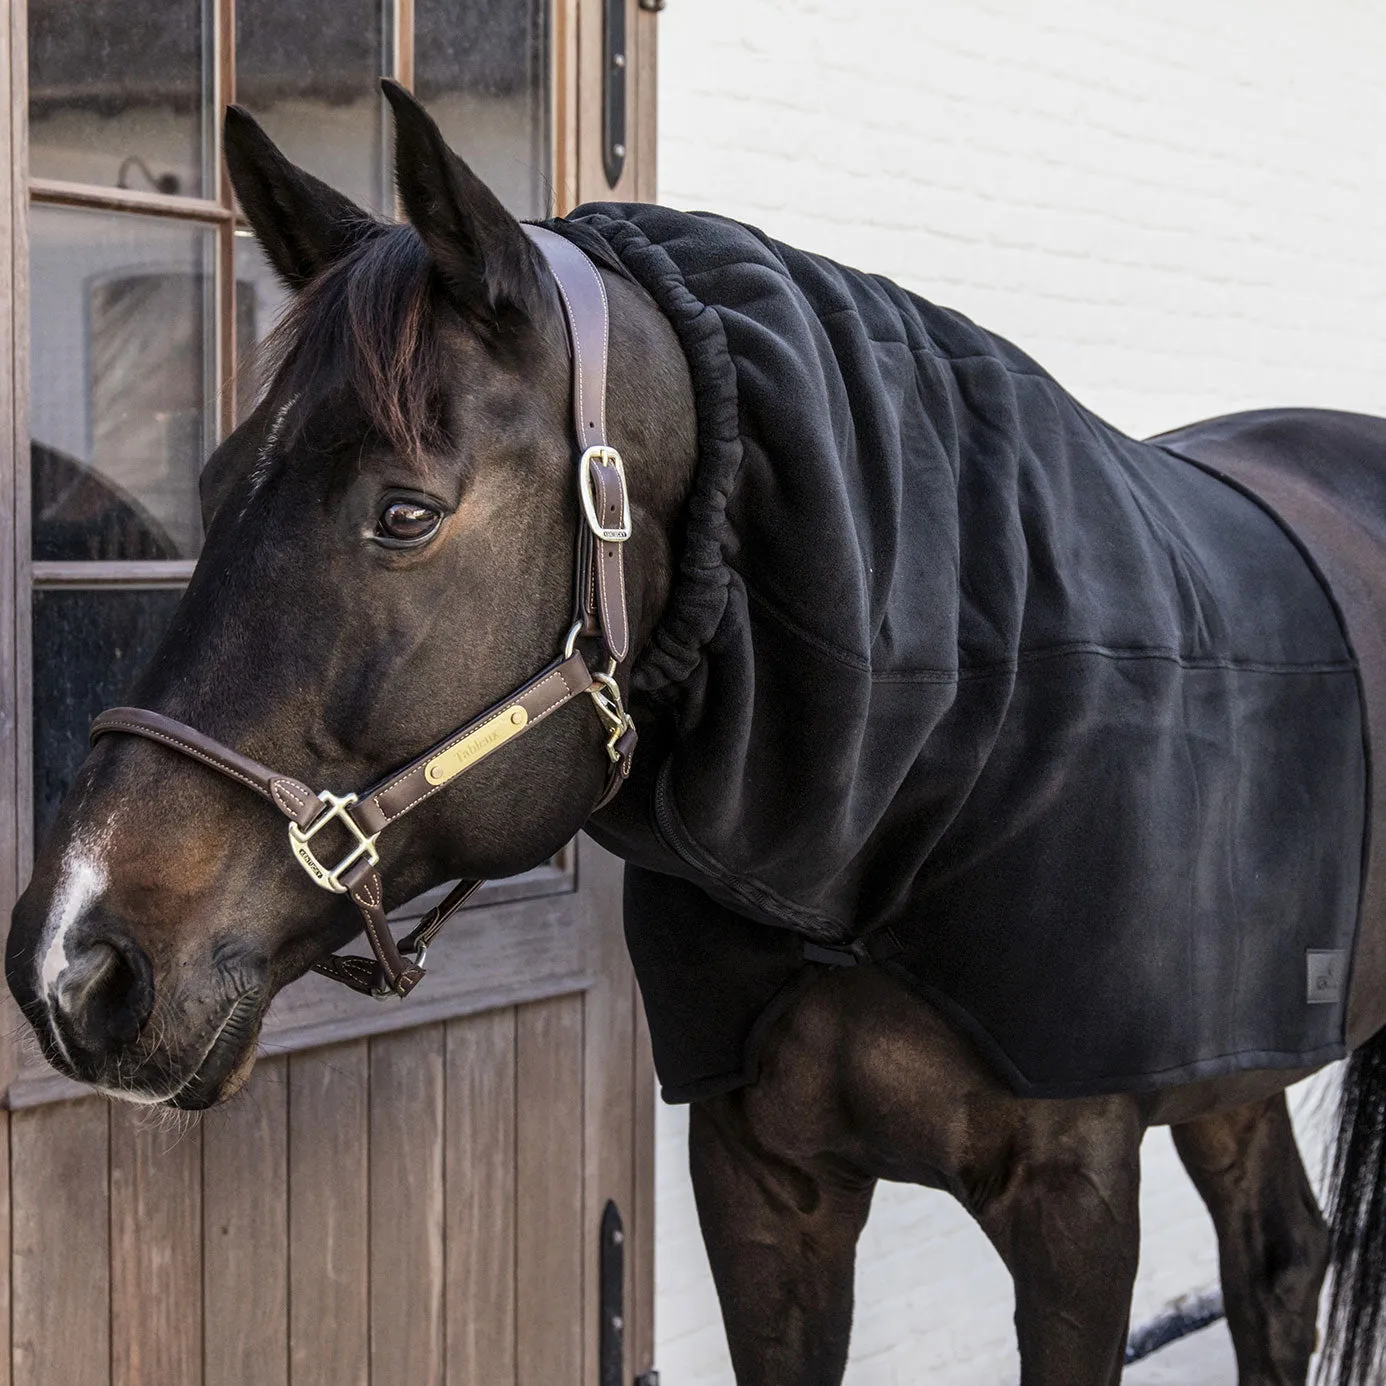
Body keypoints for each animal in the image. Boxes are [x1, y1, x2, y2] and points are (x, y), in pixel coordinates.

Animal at [8, 81, 1386, 1380]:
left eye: (405, 514)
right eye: (210, 481)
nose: (73, 964)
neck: (916, 783)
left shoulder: (1076, 1205)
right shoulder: (760, 1185)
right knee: (1281, 1261)